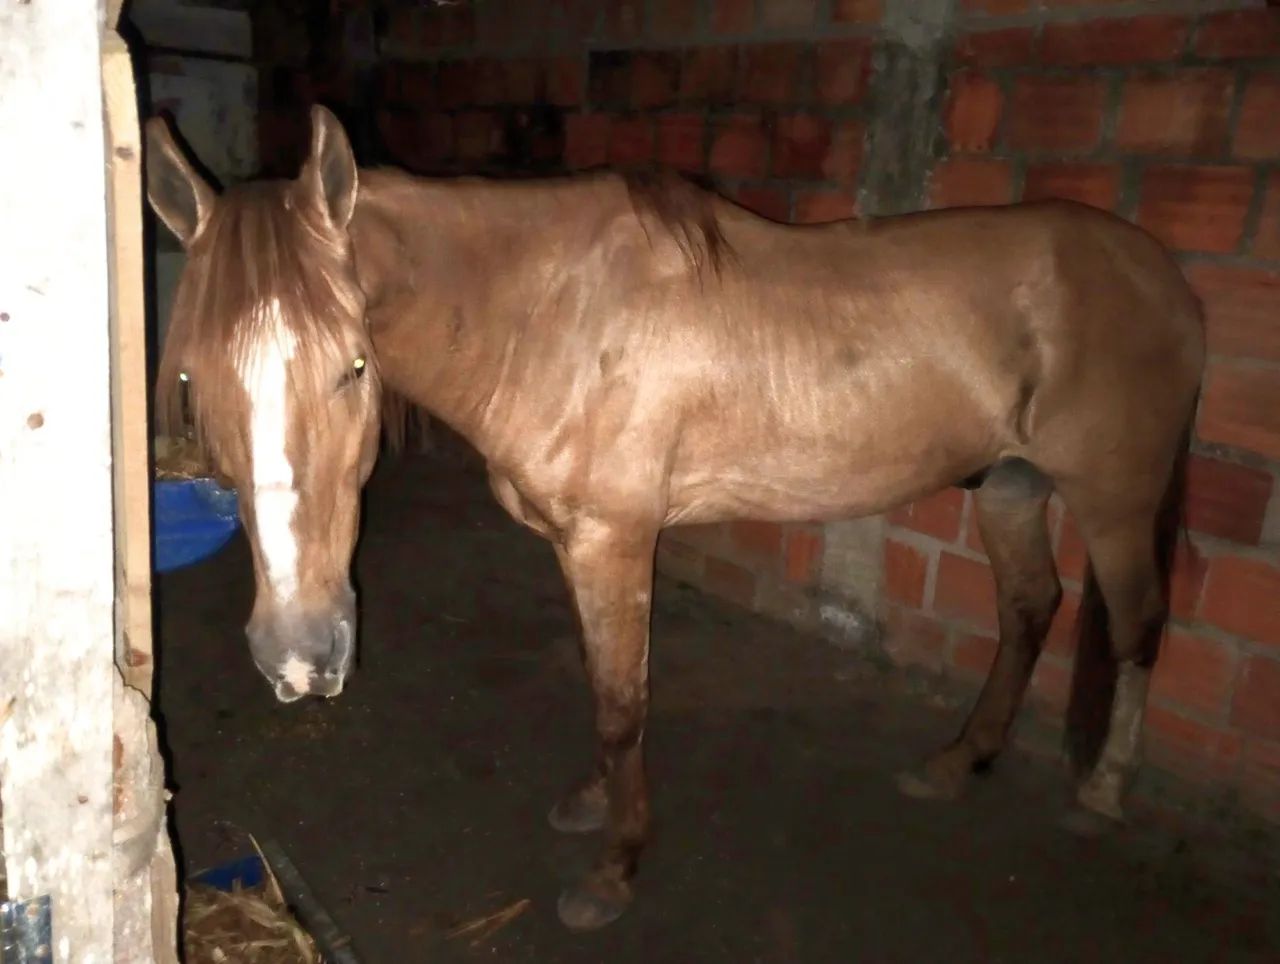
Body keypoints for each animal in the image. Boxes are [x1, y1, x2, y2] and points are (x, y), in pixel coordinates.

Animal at [144, 104, 1204, 931]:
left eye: (354, 367)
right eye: (193, 381)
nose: (298, 658)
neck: (549, 317)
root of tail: (1166, 280)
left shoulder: (615, 542)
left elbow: (623, 706)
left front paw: (613, 871)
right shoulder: (581, 548)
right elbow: (604, 683)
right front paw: (591, 806)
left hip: (1113, 500)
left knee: (1140, 623)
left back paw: (1102, 793)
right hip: (1015, 489)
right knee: (1029, 611)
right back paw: (955, 763)